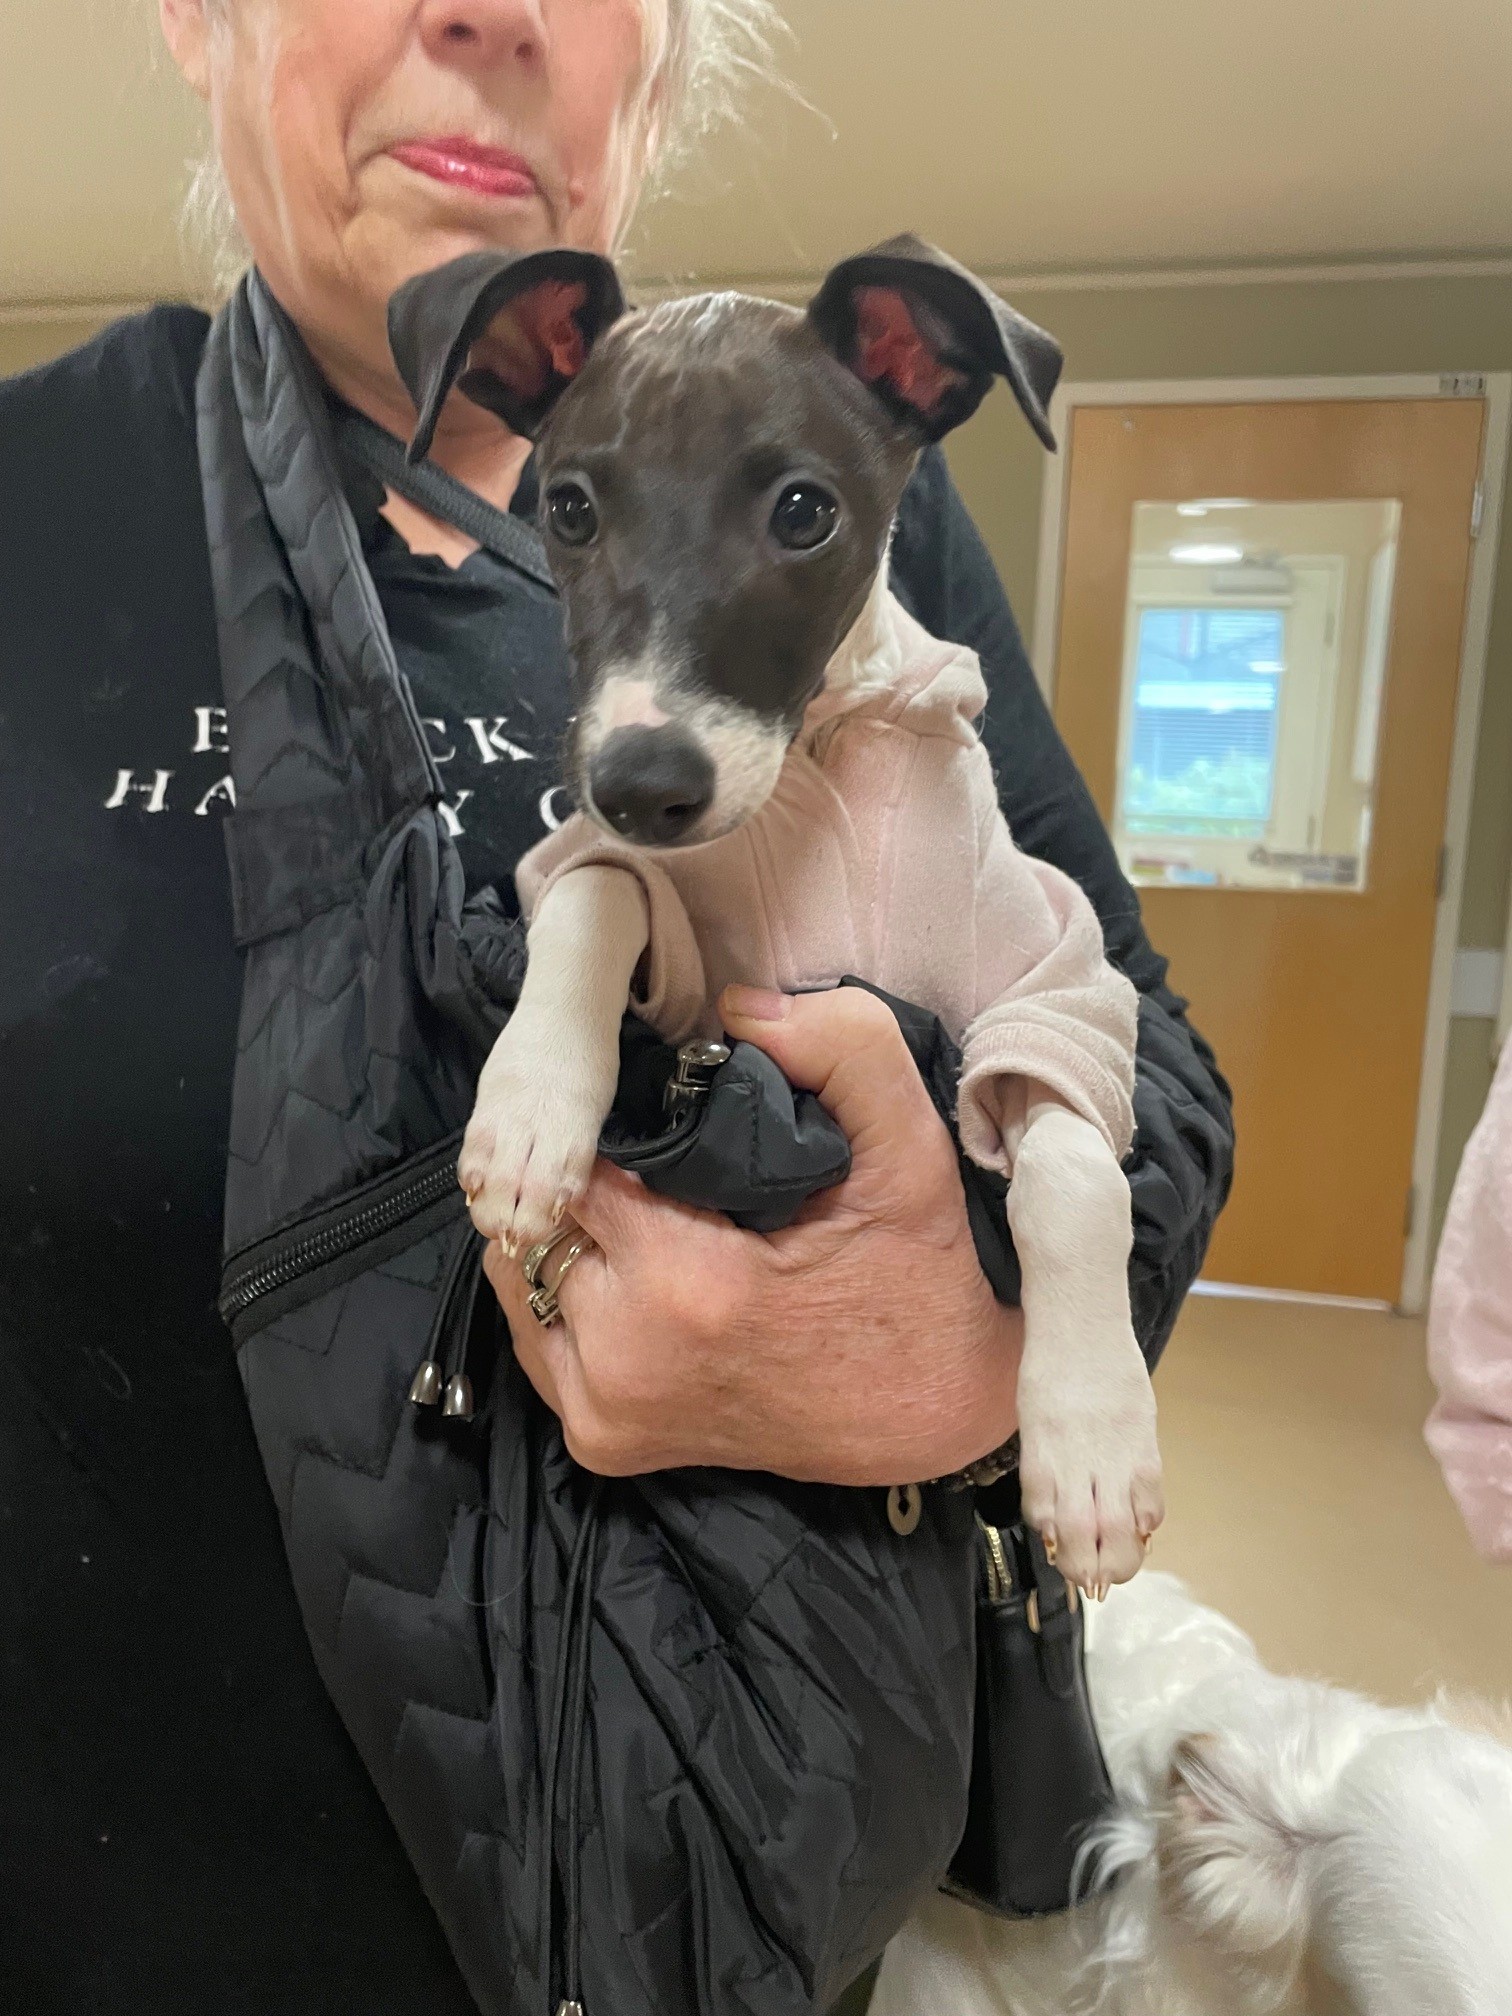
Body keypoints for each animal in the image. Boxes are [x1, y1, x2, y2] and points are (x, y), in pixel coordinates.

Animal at [389, 235, 1159, 1594]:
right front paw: (532, 1111)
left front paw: (1094, 1438)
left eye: (804, 512)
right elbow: (596, 896)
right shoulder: (651, 920)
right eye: (569, 509)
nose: (642, 784)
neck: (811, 767)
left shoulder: (1057, 973)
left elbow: (1074, 1171)